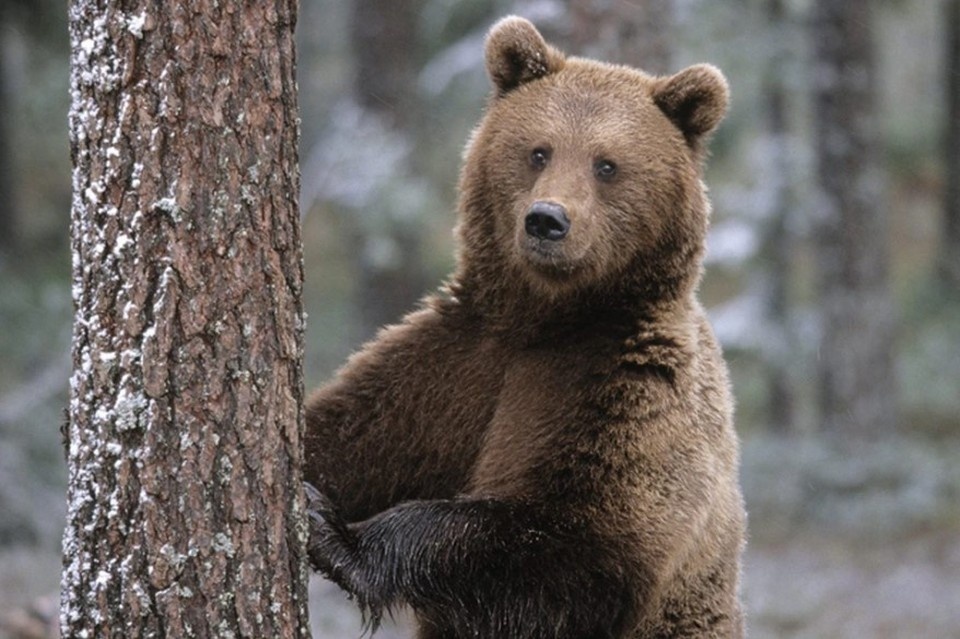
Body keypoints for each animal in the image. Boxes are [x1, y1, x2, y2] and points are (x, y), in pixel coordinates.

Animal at [304, 15, 748, 639]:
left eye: (606, 164)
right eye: (539, 151)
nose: (547, 220)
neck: (547, 318)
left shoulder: (626, 391)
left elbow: (571, 544)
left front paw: (339, 537)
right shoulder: (456, 363)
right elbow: (349, 432)